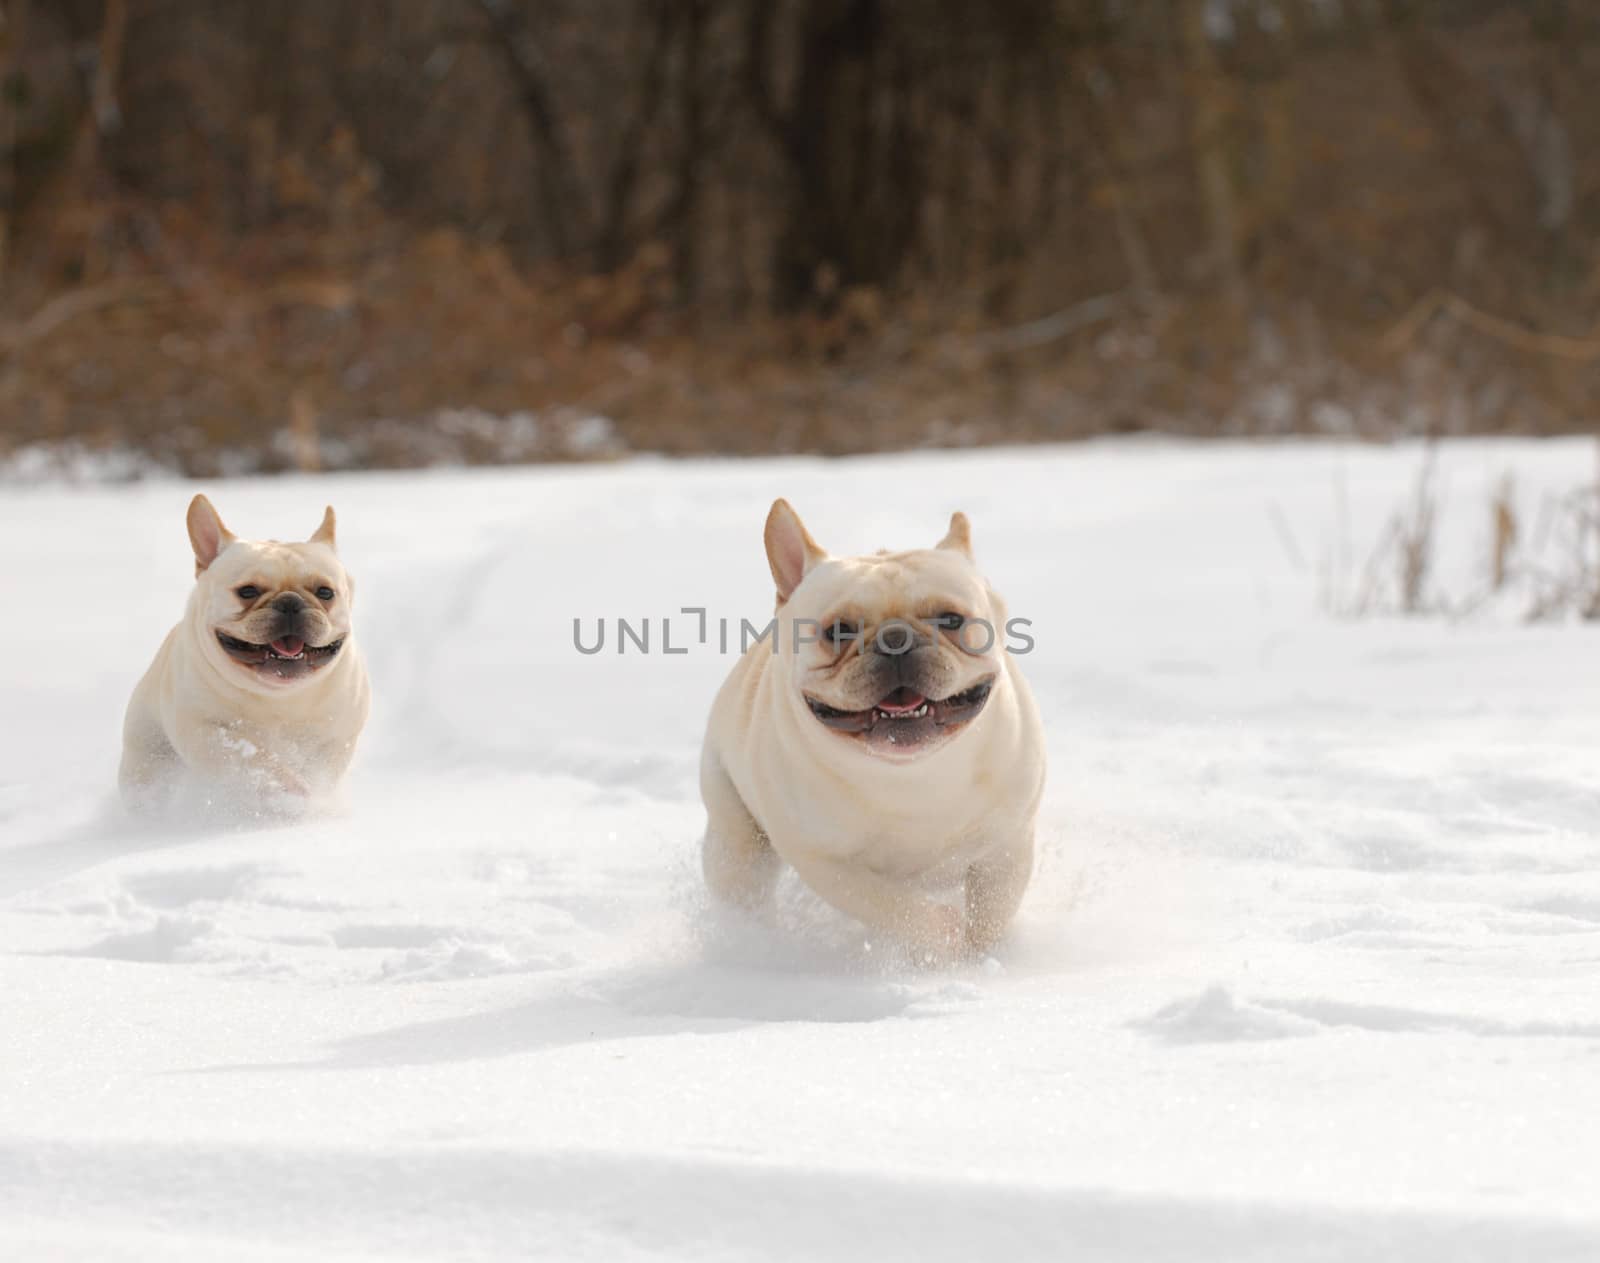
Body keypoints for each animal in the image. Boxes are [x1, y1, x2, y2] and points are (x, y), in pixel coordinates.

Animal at [119, 493, 371, 806]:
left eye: (325, 592)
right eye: (247, 591)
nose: (290, 602)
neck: (278, 694)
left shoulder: (338, 736)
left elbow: (320, 767)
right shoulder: (204, 729)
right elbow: (247, 758)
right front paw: (285, 788)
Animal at [700, 496, 1049, 960]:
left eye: (952, 620)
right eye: (838, 630)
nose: (895, 639)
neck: (909, 773)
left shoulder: (1006, 844)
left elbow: (993, 909)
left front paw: (982, 954)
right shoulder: (826, 862)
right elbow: (893, 907)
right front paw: (943, 941)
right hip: (734, 842)